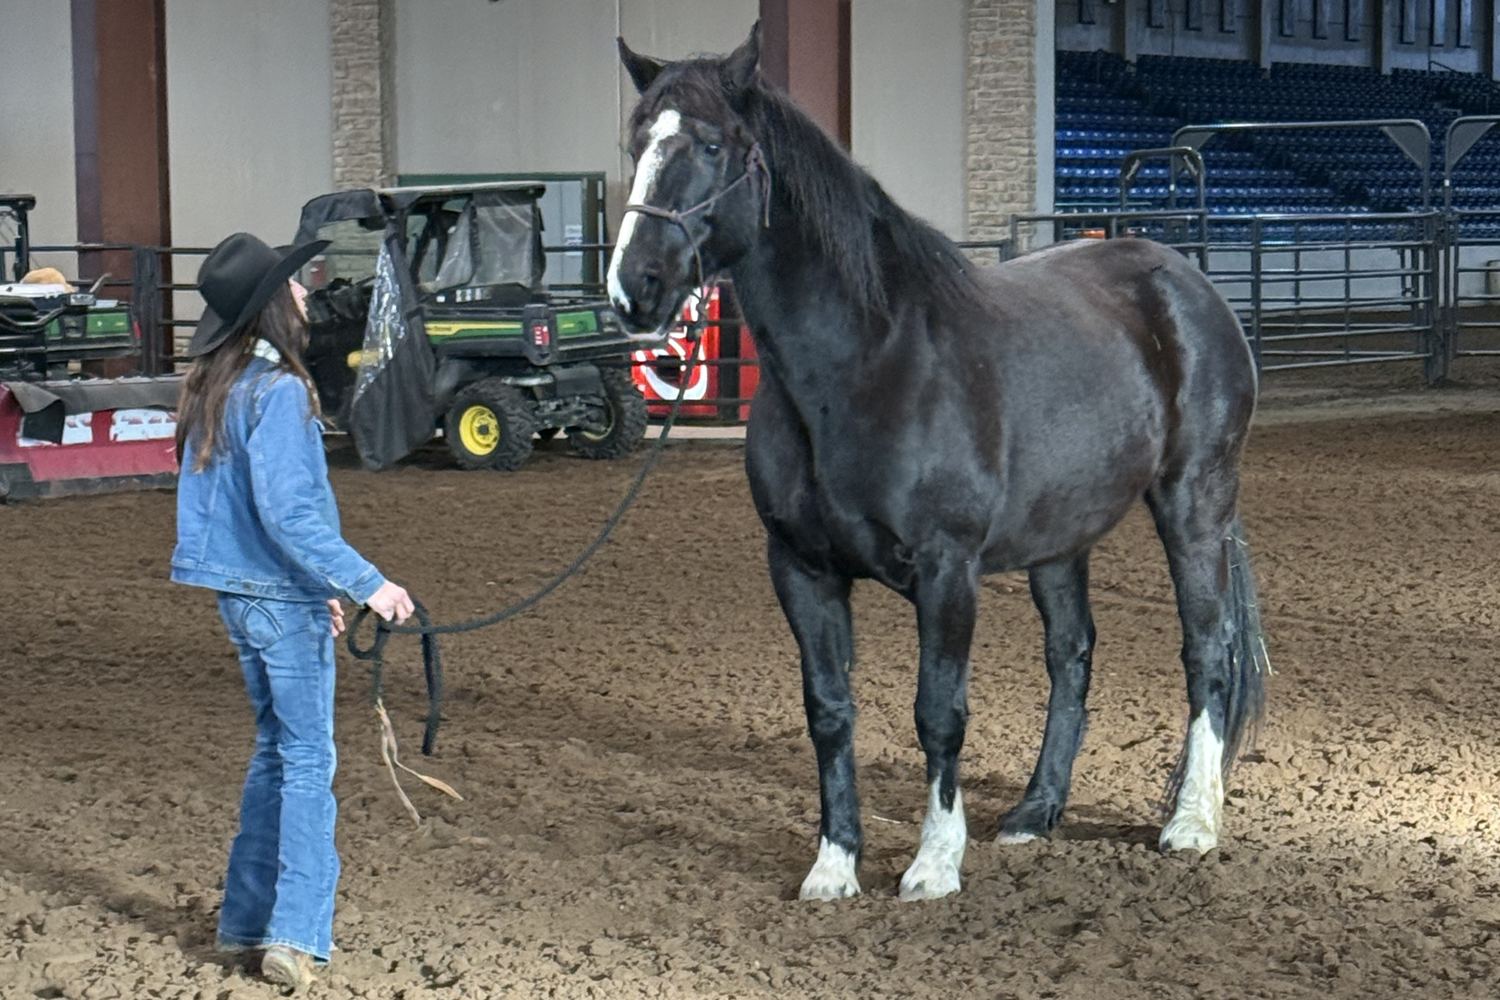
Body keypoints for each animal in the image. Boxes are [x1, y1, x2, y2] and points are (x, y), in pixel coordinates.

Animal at [606, 24, 1270, 902]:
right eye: (638, 139)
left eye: (712, 144)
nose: (633, 287)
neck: (863, 364)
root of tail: (1186, 282)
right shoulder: (801, 568)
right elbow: (830, 710)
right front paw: (834, 866)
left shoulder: (947, 568)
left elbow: (939, 711)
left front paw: (933, 863)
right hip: (1061, 540)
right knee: (1071, 655)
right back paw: (1035, 812)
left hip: (1194, 501)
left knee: (1205, 648)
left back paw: (1192, 821)